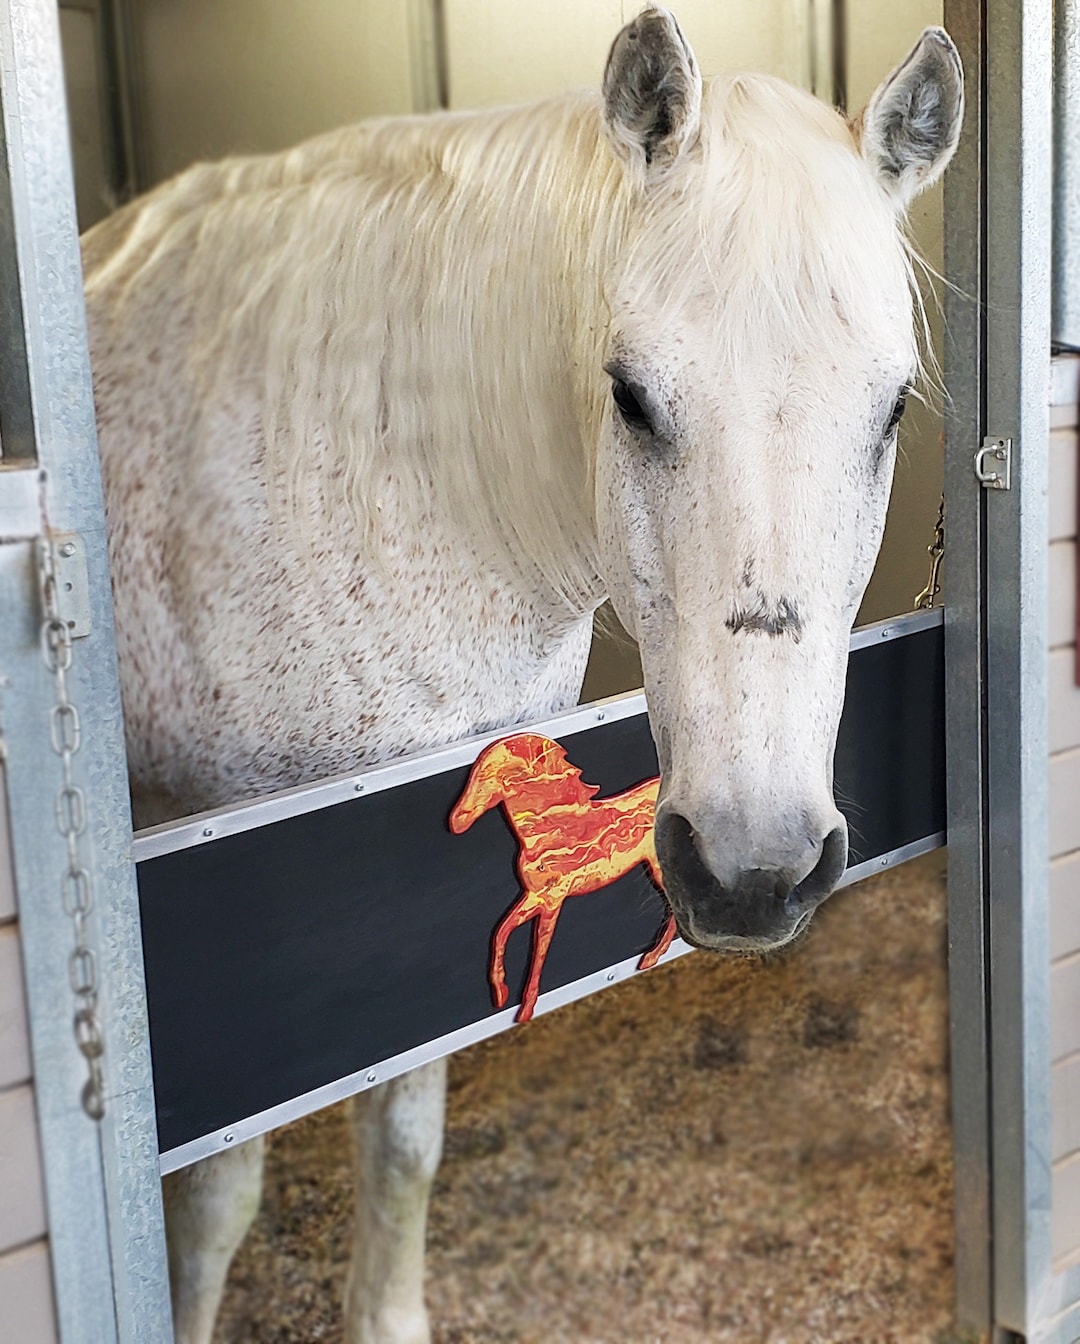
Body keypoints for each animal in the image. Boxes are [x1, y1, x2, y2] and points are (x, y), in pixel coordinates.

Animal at [449, 731, 672, 1022]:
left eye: (492, 778)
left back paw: (652, 956)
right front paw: (500, 991)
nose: (456, 821)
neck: (555, 831)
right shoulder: (534, 898)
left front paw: (526, 1008)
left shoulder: (553, 903)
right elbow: (501, 933)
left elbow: (538, 955)